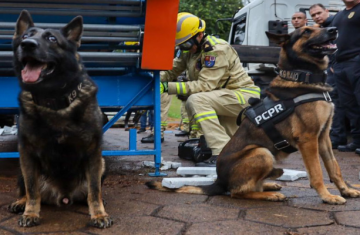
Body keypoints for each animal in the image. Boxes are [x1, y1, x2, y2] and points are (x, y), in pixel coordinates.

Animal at [8, 10, 112, 229]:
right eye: (25, 36)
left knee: (91, 191)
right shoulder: (27, 153)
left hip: (102, 163)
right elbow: (32, 190)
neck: (54, 100)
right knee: (28, 189)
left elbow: (94, 191)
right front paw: (31, 212)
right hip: (22, 167)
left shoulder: (93, 153)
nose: (27, 44)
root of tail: (64, 196)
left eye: (52, 39)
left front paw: (98, 214)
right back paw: (21, 203)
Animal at [146, 26, 360, 205]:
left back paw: (270, 184)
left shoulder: (323, 137)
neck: (303, 76)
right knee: (237, 192)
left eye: (318, 26)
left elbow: (334, 168)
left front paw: (345, 190)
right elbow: (317, 173)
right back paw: (270, 194)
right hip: (261, 152)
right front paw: (327, 196)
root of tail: (219, 181)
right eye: (307, 31)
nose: (333, 29)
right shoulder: (308, 139)